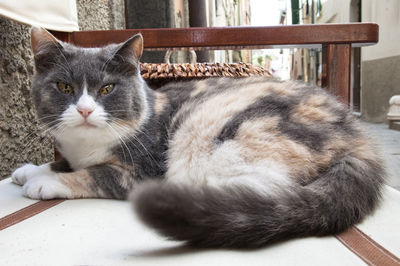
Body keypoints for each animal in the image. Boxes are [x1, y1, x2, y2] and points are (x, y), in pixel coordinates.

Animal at [11, 28, 384, 248]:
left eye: (107, 88)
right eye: (64, 87)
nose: (85, 110)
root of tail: (359, 142)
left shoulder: (140, 170)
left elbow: (92, 175)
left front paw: (45, 182)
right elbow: (63, 162)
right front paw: (31, 169)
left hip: (232, 136)